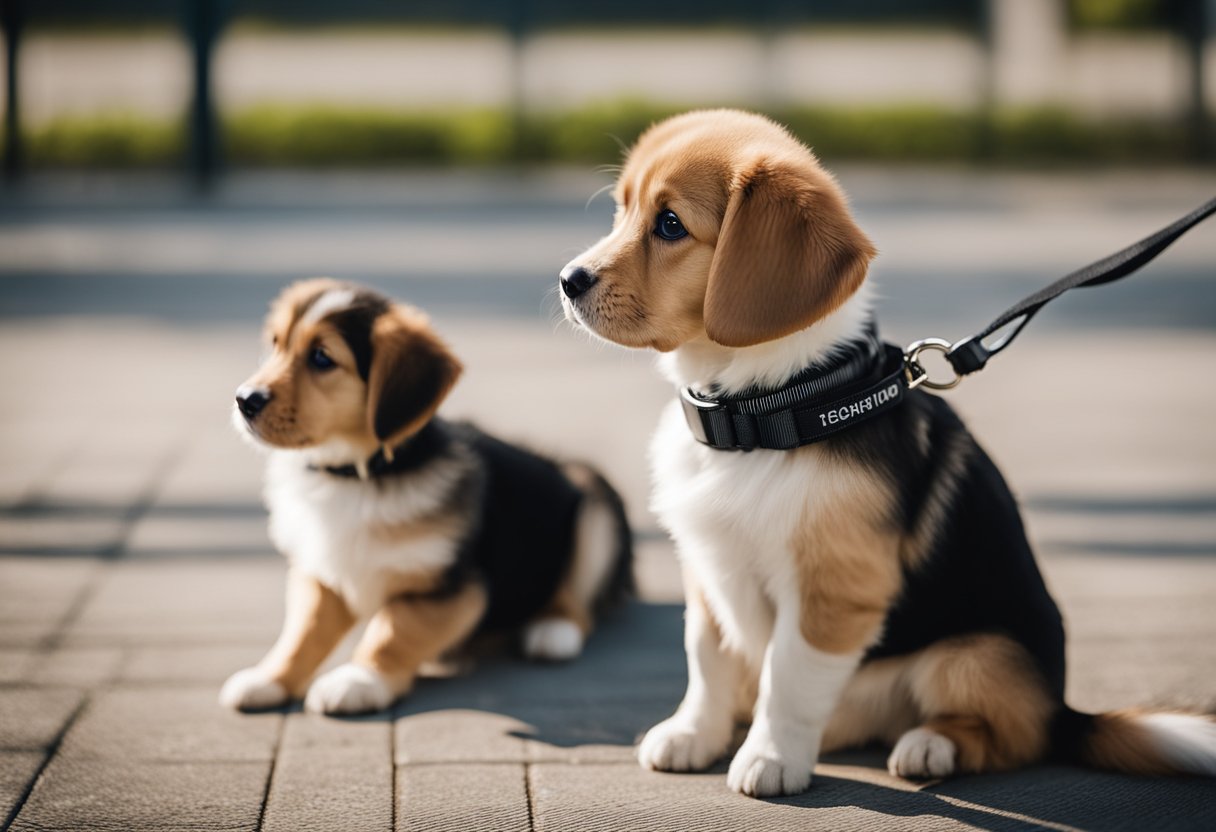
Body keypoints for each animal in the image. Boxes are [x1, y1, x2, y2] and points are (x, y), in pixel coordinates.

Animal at [221, 277, 637, 715]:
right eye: (275, 343)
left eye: (321, 358)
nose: (244, 400)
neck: (358, 478)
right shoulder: (320, 575)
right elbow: (302, 633)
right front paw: (269, 678)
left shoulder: (450, 591)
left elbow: (393, 629)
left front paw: (359, 679)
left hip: (595, 507)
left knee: (579, 599)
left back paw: (553, 630)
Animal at [556, 107, 1216, 797]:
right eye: (621, 209)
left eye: (670, 224)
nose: (568, 281)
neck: (761, 410)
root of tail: (1065, 711)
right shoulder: (707, 571)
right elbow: (706, 659)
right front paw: (693, 734)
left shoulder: (833, 589)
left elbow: (788, 678)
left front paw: (770, 757)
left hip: (975, 656)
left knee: (1010, 737)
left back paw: (930, 746)